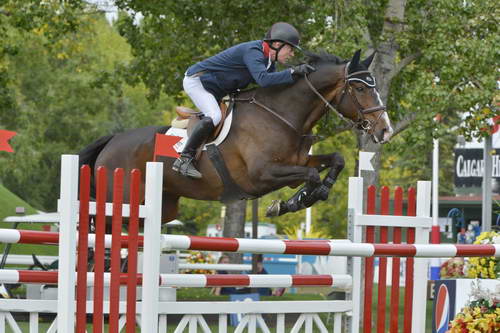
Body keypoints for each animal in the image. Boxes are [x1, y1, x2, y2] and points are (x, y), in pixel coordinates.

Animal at [78, 49, 392, 223]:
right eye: (360, 88)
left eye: (375, 86)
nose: (385, 130)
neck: (283, 115)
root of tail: (112, 141)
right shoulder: (261, 175)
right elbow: (311, 176)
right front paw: (293, 202)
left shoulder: (299, 162)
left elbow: (335, 160)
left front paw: (307, 197)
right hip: (121, 204)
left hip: (164, 208)